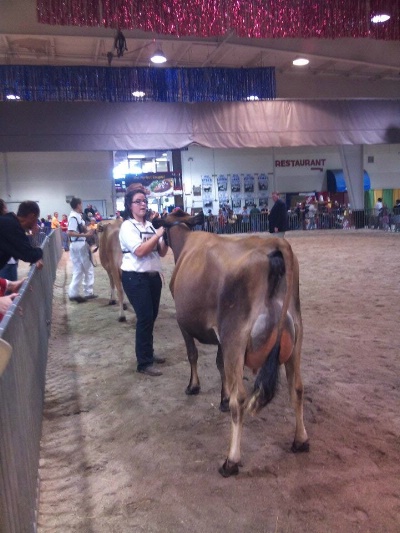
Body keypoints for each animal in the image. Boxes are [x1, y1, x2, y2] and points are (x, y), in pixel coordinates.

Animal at [152, 210, 308, 476]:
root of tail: (274, 245)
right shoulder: (220, 337)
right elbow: (219, 365)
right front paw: (222, 398)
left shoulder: (184, 323)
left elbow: (192, 354)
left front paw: (193, 386)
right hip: (295, 335)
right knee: (296, 387)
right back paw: (301, 440)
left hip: (236, 335)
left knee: (241, 399)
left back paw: (231, 460)